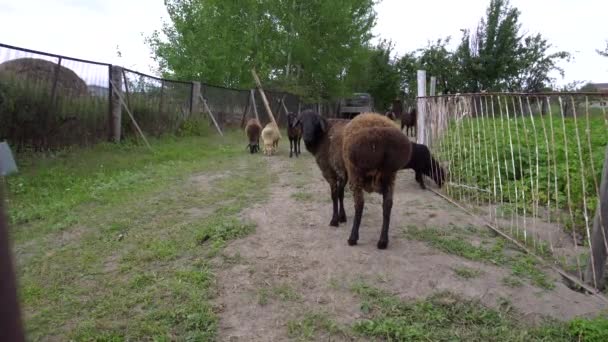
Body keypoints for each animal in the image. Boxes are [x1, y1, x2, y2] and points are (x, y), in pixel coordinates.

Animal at [342, 112, 414, 248]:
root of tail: (381, 136)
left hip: (356, 175)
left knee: (359, 204)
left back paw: (353, 238)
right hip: (390, 176)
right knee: (388, 205)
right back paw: (383, 241)